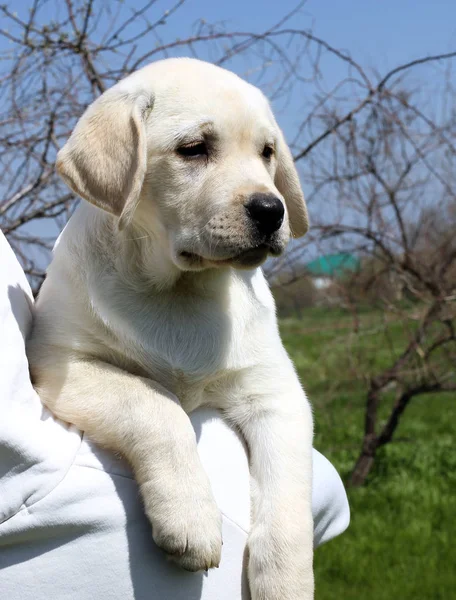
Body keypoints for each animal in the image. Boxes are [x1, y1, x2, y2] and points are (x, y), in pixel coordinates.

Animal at [26, 57, 314, 600]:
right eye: (193, 149)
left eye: (267, 152)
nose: (272, 210)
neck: (182, 290)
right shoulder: (60, 364)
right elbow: (154, 404)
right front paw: (191, 518)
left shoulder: (276, 393)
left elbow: (290, 496)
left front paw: (286, 581)